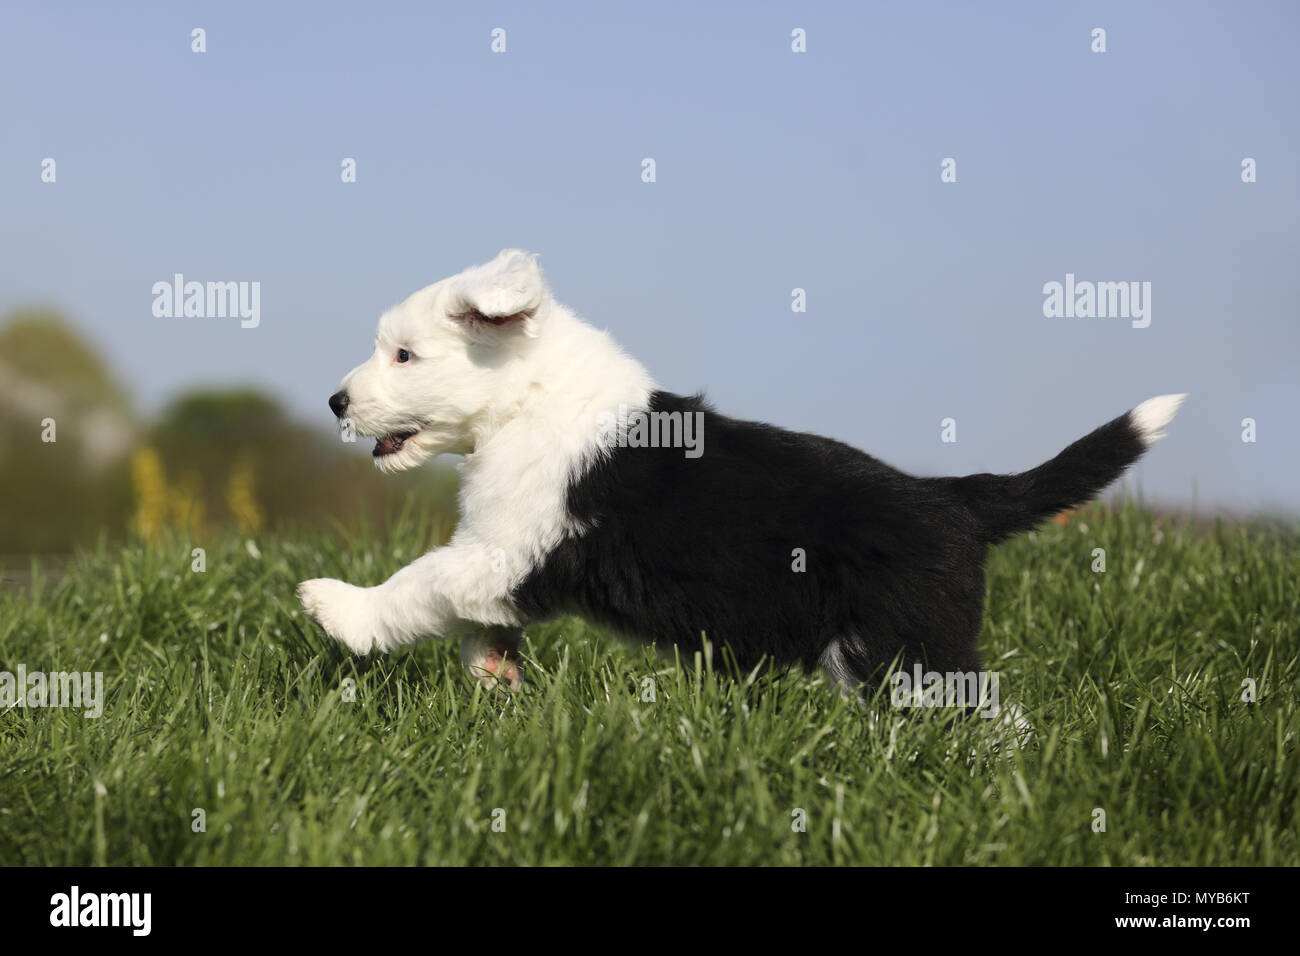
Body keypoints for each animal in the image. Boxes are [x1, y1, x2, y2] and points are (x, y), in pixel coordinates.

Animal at [297, 247, 1190, 697]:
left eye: (405, 355)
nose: (336, 401)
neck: (524, 398)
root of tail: (953, 500)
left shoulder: (511, 549)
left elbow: (421, 582)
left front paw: (339, 608)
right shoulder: (502, 556)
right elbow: (466, 614)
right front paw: (495, 673)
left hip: (901, 645)